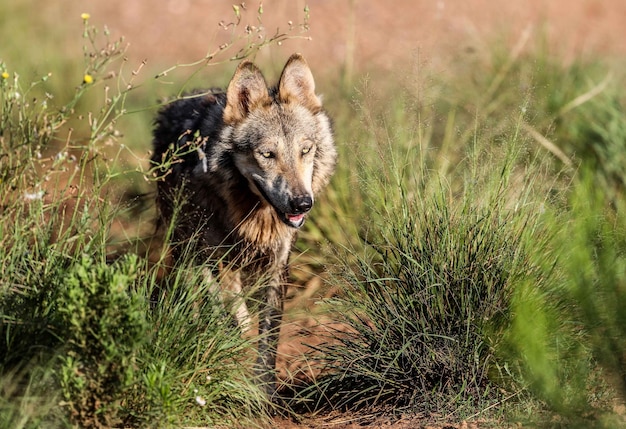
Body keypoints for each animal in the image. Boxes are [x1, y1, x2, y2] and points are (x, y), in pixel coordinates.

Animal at [151, 53, 334, 398]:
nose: (302, 204)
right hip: (188, 250)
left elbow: (269, 336)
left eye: (305, 150)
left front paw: (264, 391)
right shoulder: (214, 257)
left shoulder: (278, 262)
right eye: (267, 154)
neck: (253, 215)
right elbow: (230, 311)